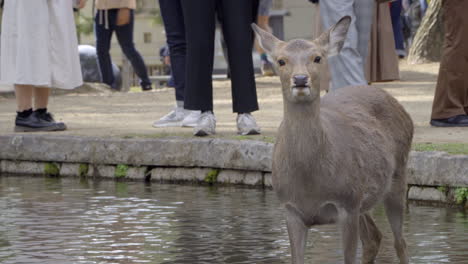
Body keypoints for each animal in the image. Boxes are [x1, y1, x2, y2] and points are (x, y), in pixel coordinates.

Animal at [252, 17, 414, 264]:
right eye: (281, 60)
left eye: (317, 57)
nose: (300, 79)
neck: (311, 184)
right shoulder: (290, 208)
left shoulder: (347, 203)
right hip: (365, 198)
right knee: (374, 237)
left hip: (397, 176)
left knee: (400, 242)